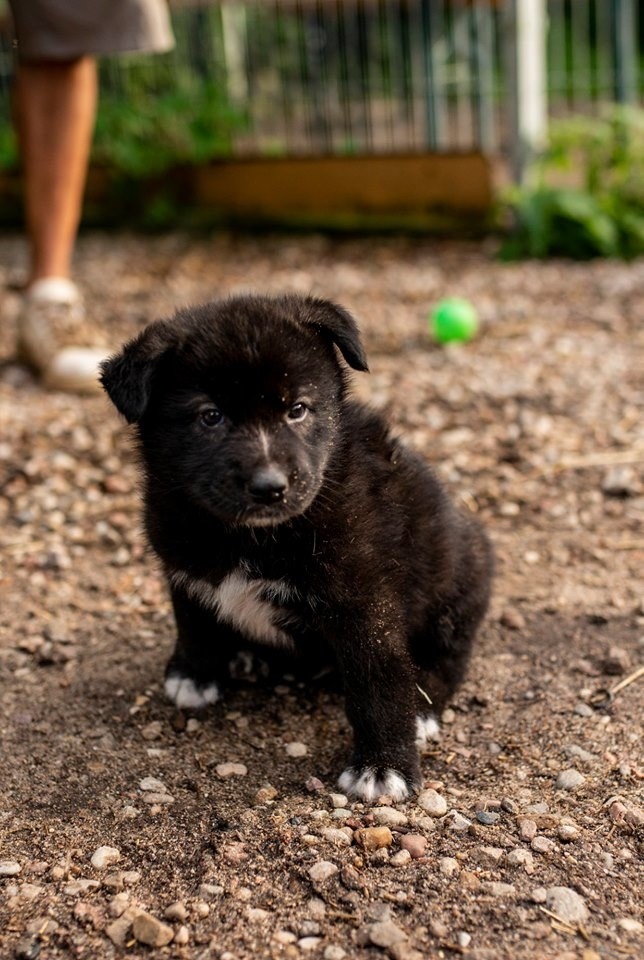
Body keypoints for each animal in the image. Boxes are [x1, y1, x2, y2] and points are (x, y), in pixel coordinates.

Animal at [102, 294, 494, 804]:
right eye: (211, 416)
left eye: (299, 409)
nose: (270, 487)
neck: (246, 537)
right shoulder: (183, 566)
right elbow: (194, 621)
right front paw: (195, 673)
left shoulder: (364, 603)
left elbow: (378, 682)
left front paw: (384, 767)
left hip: (459, 580)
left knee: (448, 657)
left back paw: (424, 708)